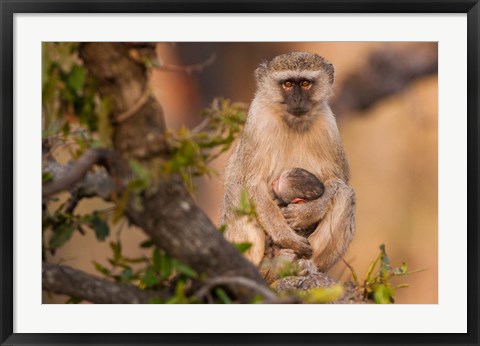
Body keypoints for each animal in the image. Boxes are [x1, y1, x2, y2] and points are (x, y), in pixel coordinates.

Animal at [221, 51, 356, 274]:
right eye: (287, 84)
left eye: (305, 83)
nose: (298, 99)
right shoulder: (258, 122)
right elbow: (251, 183)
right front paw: (285, 236)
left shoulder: (328, 126)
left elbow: (337, 181)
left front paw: (308, 212)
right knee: (235, 191)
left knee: (346, 194)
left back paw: (305, 265)